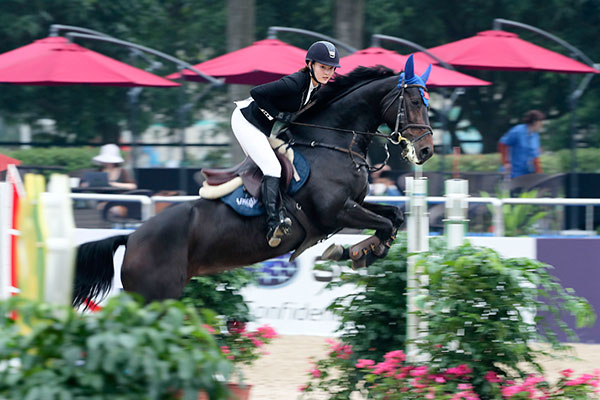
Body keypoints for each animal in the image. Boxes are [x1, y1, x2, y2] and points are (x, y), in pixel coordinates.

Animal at [72, 55, 434, 306]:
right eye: (415, 102)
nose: (426, 150)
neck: (333, 142)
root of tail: (131, 238)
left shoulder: (355, 204)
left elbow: (394, 217)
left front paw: (365, 251)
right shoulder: (334, 212)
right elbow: (384, 223)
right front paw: (354, 252)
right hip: (155, 296)